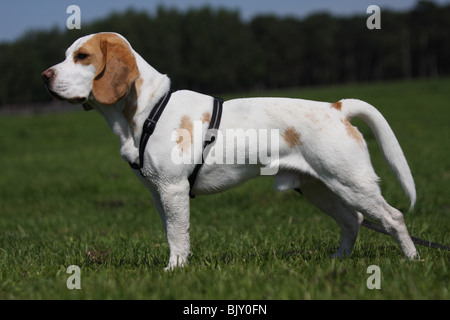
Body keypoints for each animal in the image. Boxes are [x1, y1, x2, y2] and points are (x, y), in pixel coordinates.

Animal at [42, 32, 418, 268]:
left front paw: (174, 271)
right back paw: (339, 261)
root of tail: (337, 107)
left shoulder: (173, 189)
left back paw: (413, 260)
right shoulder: (157, 193)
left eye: (82, 57)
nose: (45, 75)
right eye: (66, 56)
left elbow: (177, 236)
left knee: (393, 217)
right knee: (353, 221)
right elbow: (172, 234)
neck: (147, 110)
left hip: (353, 184)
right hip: (320, 189)